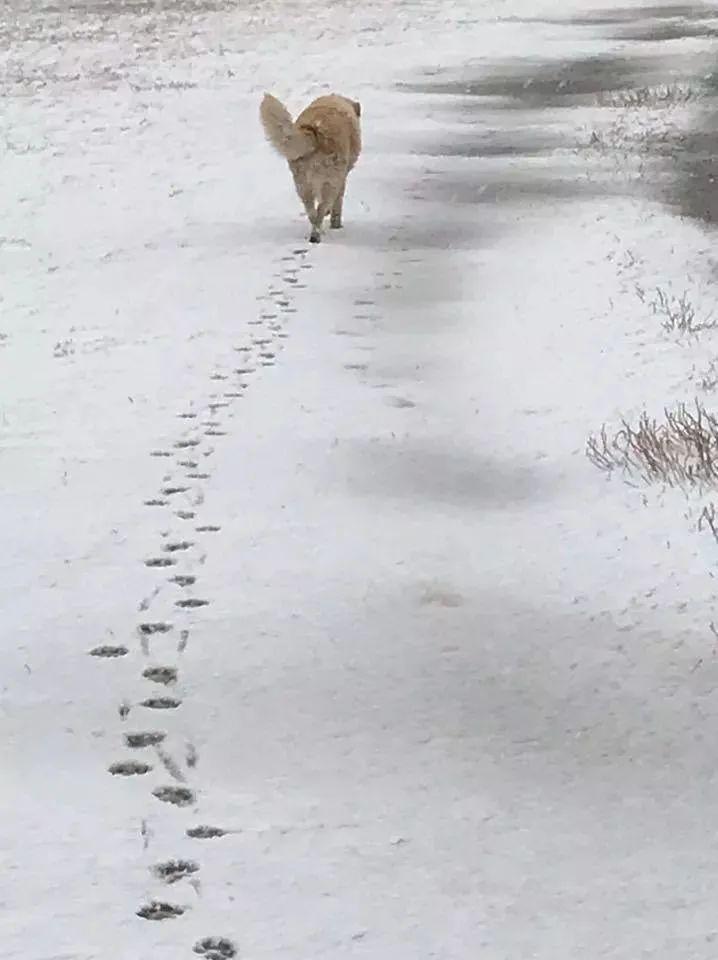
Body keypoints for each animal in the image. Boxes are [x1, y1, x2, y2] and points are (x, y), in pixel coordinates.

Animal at [258, 93, 362, 244]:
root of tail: (315, 132)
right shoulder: (340, 179)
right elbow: (338, 202)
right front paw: (336, 223)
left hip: (302, 184)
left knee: (312, 212)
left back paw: (315, 232)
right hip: (329, 182)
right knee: (321, 208)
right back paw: (317, 234)